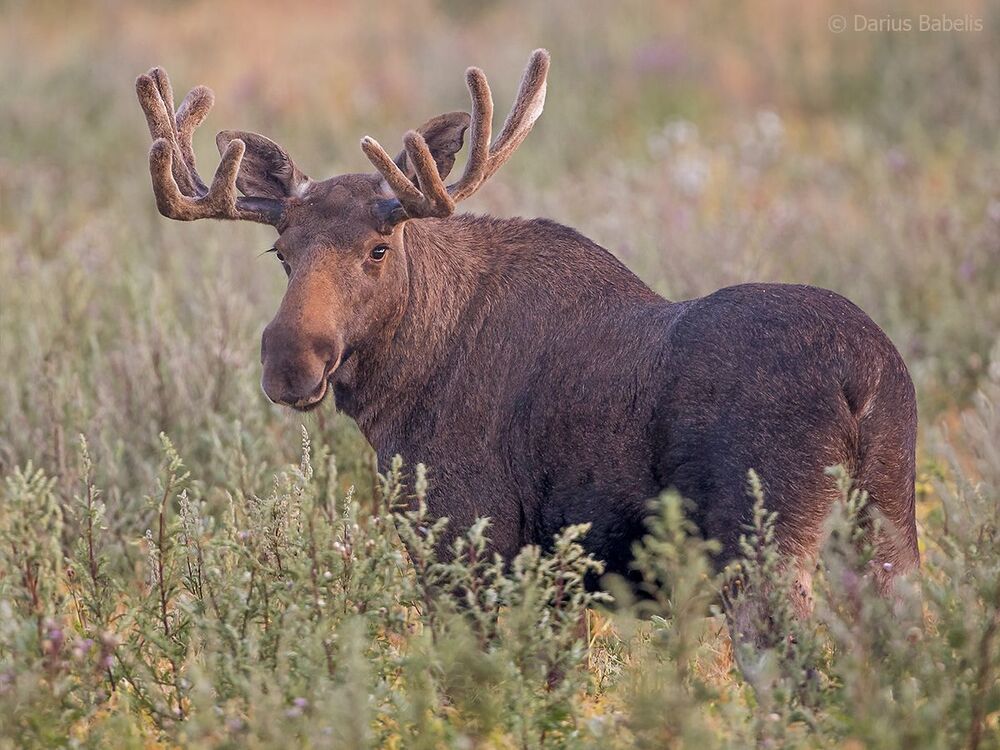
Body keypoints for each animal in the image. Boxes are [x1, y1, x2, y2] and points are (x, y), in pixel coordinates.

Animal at [135, 50, 919, 642]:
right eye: (280, 252)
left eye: (379, 248)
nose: (290, 363)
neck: (400, 389)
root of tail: (864, 377)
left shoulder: (468, 543)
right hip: (886, 526)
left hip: (761, 549)